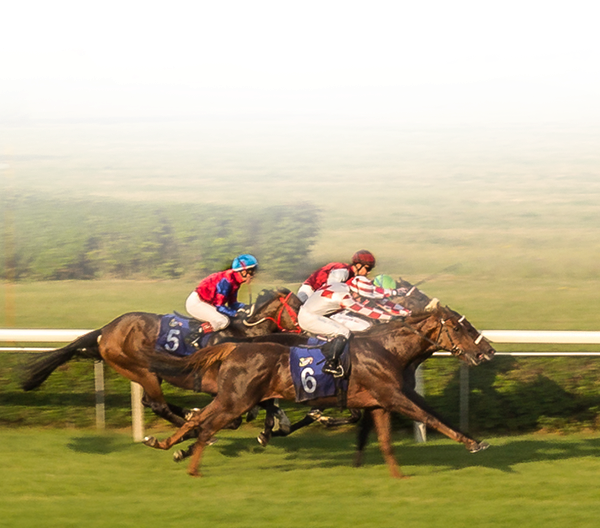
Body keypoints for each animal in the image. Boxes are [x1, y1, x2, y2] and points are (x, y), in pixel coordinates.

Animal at [21, 286, 302, 426]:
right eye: (298, 306)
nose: (306, 328)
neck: (244, 333)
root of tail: (107, 329)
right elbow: (253, 407)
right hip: (140, 370)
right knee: (157, 405)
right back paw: (186, 421)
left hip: (149, 374)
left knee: (151, 402)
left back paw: (189, 414)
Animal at [142, 302, 496, 478]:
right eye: (461, 327)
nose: (488, 351)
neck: (388, 349)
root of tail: (234, 347)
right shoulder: (393, 396)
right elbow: (430, 417)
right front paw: (473, 444)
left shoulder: (380, 402)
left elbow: (388, 438)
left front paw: (397, 476)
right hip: (237, 400)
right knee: (206, 425)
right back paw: (192, 464)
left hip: (232, 398)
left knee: (198, 418)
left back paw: (163, 443)